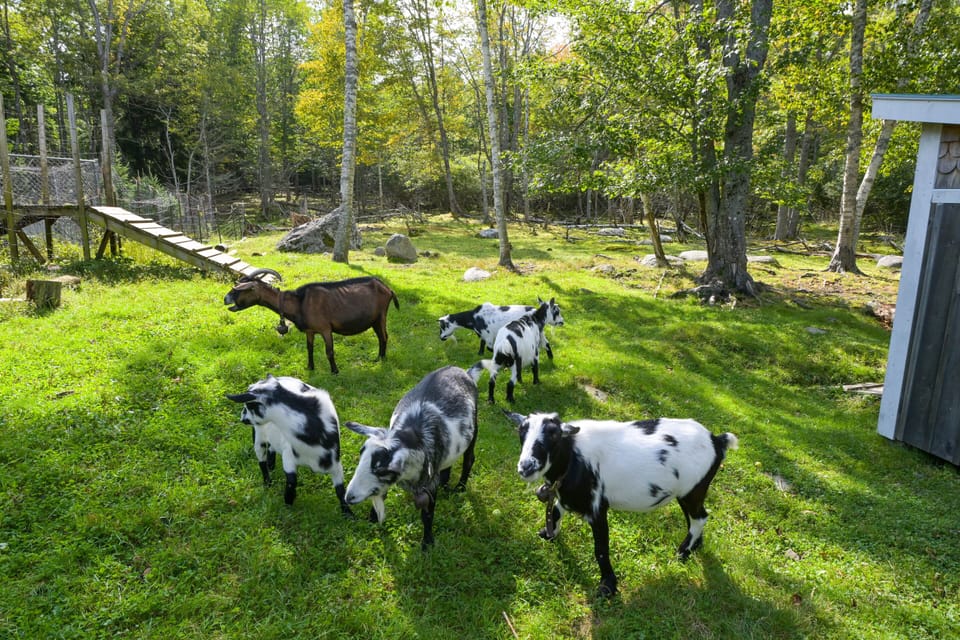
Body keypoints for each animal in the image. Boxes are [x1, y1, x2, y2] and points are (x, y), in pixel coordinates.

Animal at [223, 269, 399, 373]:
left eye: (238, 290)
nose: (225, 299)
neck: (300, 303)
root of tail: (388, 289)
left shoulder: (325, 329)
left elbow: (329, 351)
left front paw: (335, 371)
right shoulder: (310, 331)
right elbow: (309, 348)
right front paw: (310, 367)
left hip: (381, 315)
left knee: (384, 336)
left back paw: (381, 359)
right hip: (374, 320)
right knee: (381, 337)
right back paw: (379, 358)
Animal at [226, 374, 352, 516]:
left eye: (249, 406)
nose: (242, 419)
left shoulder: (335, 463)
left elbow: (341, 491)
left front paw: (349, 514)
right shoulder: (289, 456)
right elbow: (291, 483)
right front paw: (287, 509)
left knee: (271, 448)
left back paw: (271, 465)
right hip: (259, 436)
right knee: (261, 460)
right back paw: (267, 481)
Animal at [343, 365, 479, 549]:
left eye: (381, 470)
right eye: (361, 456)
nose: (349, 497)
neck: (414, 434)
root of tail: (464, 371)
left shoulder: (428, 483)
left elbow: (427, 514)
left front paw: (427, 544)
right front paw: (371, 520)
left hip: (474, 429)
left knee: (469, 459)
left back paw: (460, 487)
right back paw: (445, 485)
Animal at [505, 410, 738, 596]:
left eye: (554, 433)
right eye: (521, 431)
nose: (526, 466)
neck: (573, 455)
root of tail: (717, 440)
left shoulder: (597, 508)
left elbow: (600, 549)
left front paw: (607, 586)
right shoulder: (568, 495)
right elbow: (555, 510)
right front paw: (548, 533)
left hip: (693, 489)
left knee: (699, 517)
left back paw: (683, 552)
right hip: (689, 491)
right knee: (697, 515)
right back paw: (696, 546)